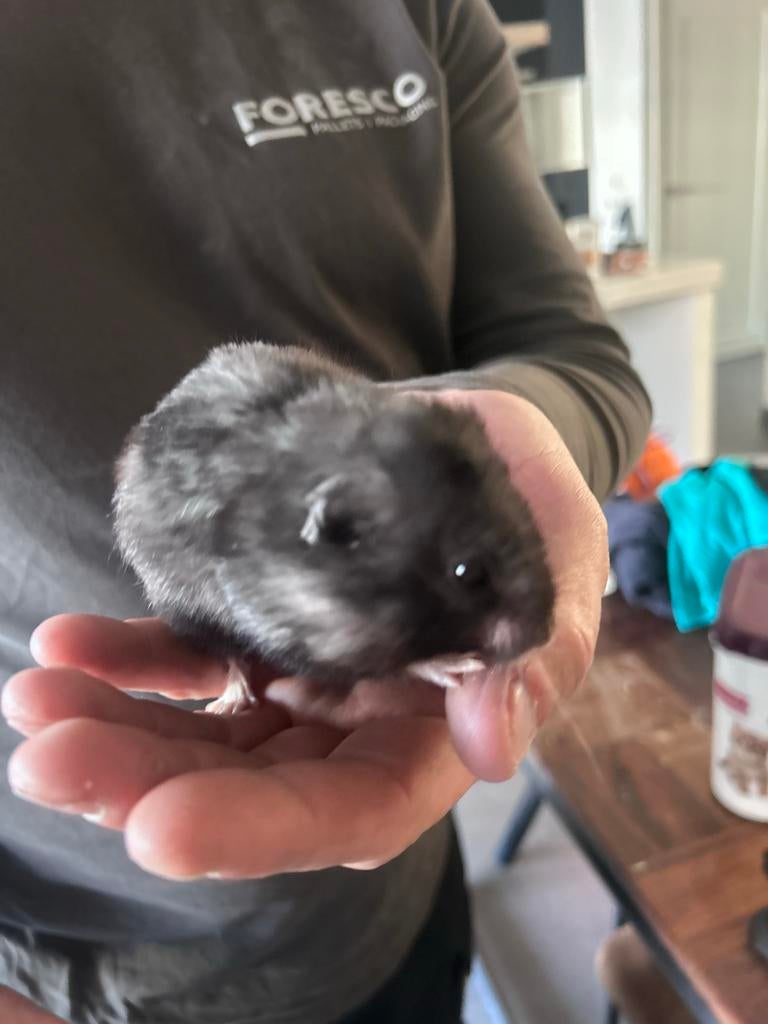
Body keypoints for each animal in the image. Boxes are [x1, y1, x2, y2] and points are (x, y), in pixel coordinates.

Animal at [113, 342, 555, 712]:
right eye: (467, 573)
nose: (544, 638)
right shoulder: (293, 633)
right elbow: (388, 664)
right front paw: (454, 666)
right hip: (185, 612)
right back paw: (231, 703)